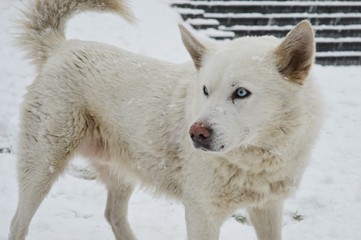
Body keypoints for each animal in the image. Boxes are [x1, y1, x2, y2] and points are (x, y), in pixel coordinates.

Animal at [9, 0, 322, 240]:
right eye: (205, 90)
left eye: (241, 92)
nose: (196, 133)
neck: (256, 160)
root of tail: (62, 47)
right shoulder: (201, 214)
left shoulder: (269, 207)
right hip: (42, 165)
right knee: (17, 222)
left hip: (123, 171)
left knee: (113, 215)